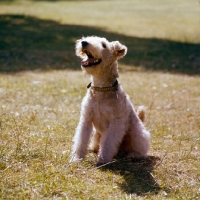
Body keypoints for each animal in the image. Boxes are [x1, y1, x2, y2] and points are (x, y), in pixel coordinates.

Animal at [70, 36, 150, 166]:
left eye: (104, 45)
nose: (84, 42)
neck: (101, 89)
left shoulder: (115, 124)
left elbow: (108, 143)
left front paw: (103, 160)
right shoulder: (86, 119)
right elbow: (81, 141)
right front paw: (76, 158)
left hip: (137, 133)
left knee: (140, 149)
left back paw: (133, 155)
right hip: (97, 133)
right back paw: (93, 148)